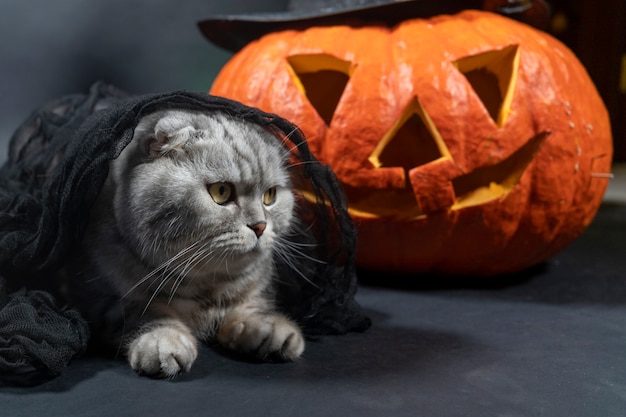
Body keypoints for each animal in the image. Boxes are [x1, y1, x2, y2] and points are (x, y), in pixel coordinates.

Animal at [64, 108, 304, 376]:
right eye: (221, 191)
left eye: (270, 195)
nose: (260, 226)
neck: (206, 287)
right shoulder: (100, 299)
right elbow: (146, 312)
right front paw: (163, 340)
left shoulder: (253, 287)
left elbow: (250, 306)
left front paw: (267, 328)